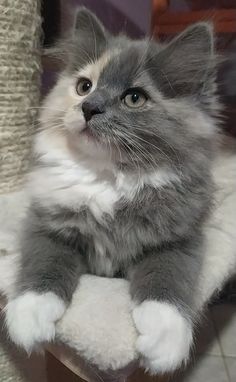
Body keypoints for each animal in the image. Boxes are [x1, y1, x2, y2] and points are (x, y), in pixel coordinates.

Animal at [6, 8, 219, 376]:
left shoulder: (181, 236)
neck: (108, 178)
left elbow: (169, 274)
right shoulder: (46, 222)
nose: (88, 107)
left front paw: (164, 336)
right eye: (84, 86)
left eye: (134, 97)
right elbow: (43, 261)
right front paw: (30, 316)